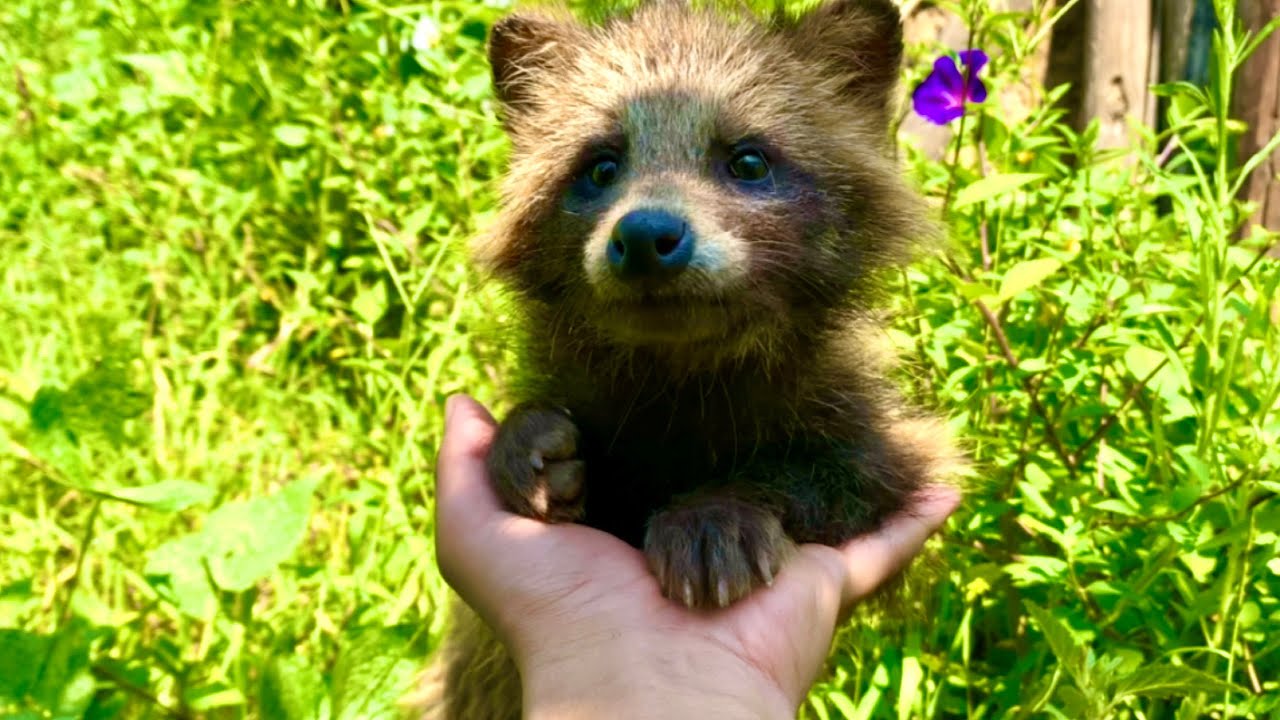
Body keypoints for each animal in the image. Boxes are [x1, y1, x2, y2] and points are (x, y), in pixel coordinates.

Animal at [414, 0, 962, 717]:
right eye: (600, 167)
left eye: (749, 160)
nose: (646, 237)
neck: (683, 364)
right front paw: (525, 438)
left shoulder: (880, 422)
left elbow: (866, 464)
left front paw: (721, 507)